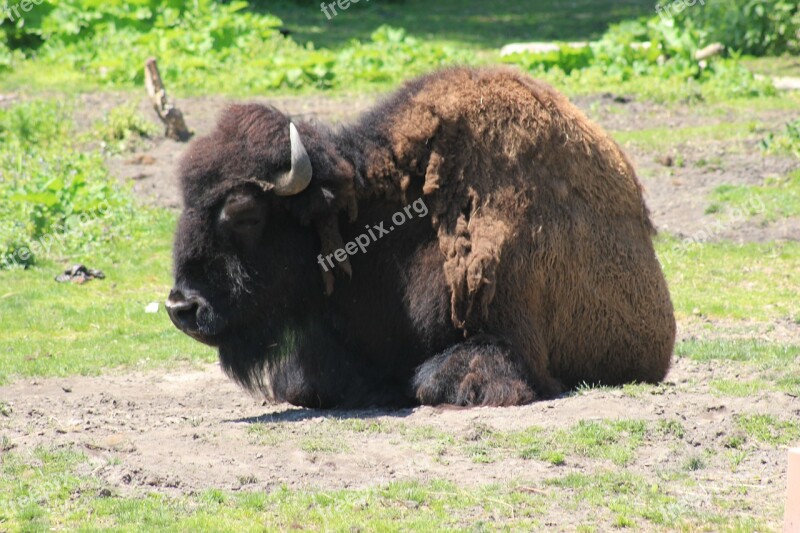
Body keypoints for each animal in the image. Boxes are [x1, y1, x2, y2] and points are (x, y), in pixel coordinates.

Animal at [167, 66, 676, 408]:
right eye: (186, 204)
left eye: (244, 214)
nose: (181, 307)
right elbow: (301, 383)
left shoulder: (508, 344)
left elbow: (434, 380)